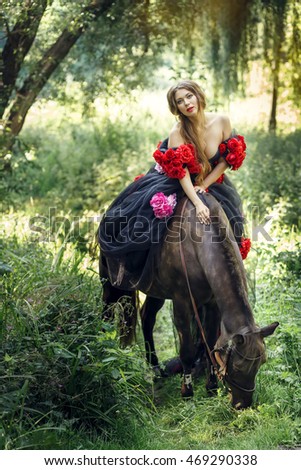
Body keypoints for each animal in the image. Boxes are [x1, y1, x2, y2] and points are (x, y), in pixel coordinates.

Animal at [99, 193, 278, 410]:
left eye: (262, 362)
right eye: (236, 366)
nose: (242, 404)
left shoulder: (212, 304)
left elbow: (210, 344)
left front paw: (211, 388)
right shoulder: (181, 302)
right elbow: (187, 350)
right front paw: (187, 393)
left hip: (155, 291)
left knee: (147, 317)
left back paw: (156, 369)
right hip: (111, 284)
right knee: (107, 316)